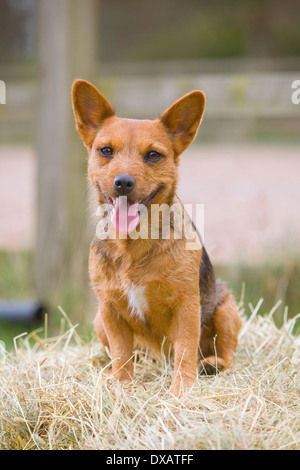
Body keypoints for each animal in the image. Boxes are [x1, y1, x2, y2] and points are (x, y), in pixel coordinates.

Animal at [72, 81, 241, 396]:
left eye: (153, 155)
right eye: (105, 150)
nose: (123, 182)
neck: (134, 248)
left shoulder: (187, 305)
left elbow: (185, 349)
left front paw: (182, 389)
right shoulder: (109, 308)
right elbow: (121, 353)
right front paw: (121, 384)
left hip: (226, 309)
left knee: (226, 354)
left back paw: (212, 364)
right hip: (100, 321)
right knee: (125, 355)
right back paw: (107, 370)